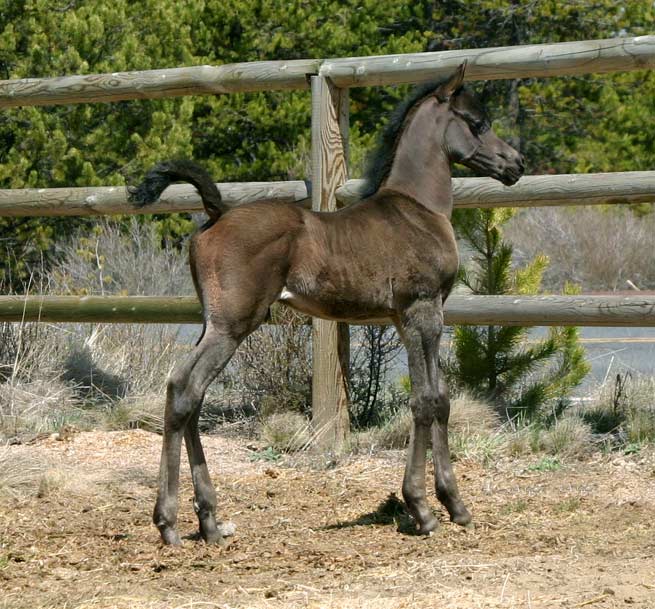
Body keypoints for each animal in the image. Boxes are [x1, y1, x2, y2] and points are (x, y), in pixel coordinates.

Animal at [131, 63, 524, 548]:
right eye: (477, 123)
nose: (516, 164)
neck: (418, 210)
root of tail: (216, 213)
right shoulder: (422, 312)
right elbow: (426, 401)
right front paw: (424, 507)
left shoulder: (407, 318)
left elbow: (442, 400)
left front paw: (454, 505)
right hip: (232, 325)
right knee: (188, 391)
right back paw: (170, 523)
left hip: (213, 323)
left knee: (185, 391)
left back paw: (208, 520)